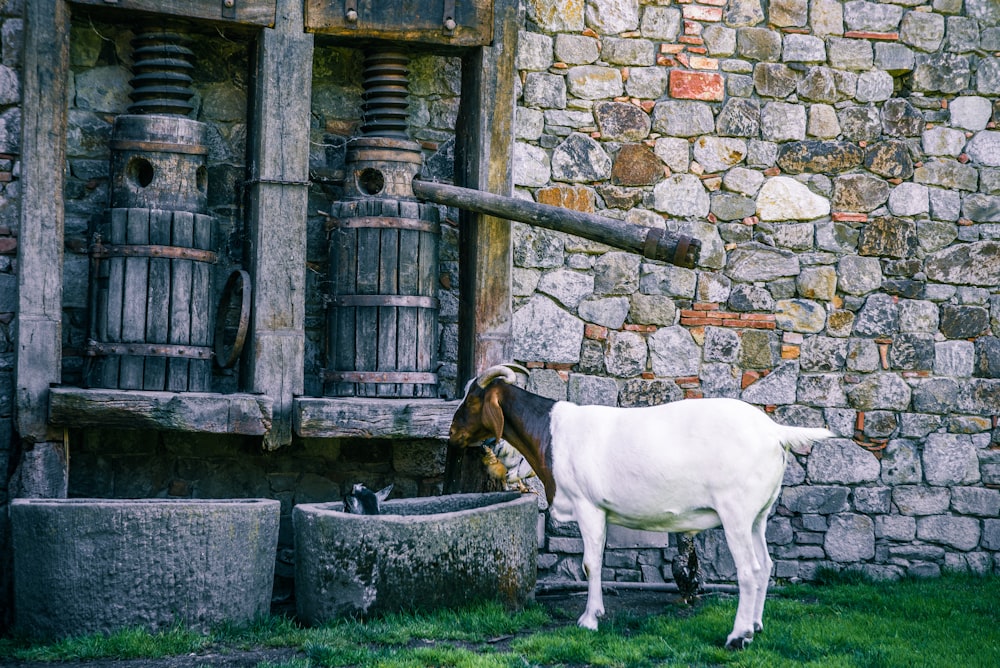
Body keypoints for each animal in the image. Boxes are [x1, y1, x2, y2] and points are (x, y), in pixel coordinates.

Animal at [448, 362, 836, 648]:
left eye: (471, 401)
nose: (451, 434)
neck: (552, 434)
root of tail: (775, 432)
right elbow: (598, 562)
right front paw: (597, 613)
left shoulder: (588, 506)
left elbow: (590, 563)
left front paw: (588, 620)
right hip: (759, 514)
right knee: (767, 564)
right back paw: (756, 625)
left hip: (736, 513)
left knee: (750, 569)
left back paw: (738, 636)